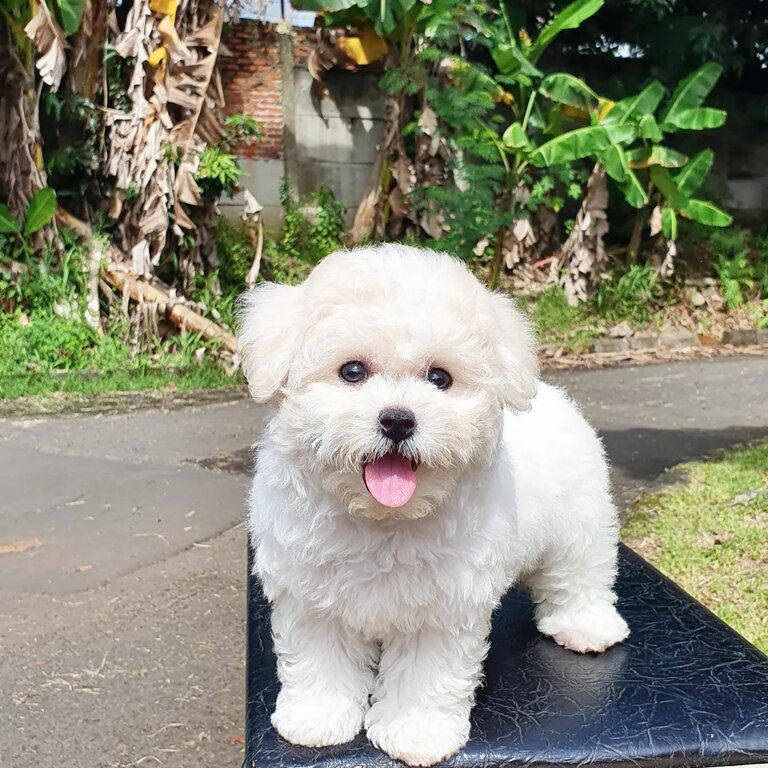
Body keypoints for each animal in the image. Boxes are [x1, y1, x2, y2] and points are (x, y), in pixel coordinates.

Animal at [237, 246, 628, 768]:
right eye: (352, 371)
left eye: (439, 377)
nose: (398, 420)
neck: (383, 518)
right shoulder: (312, 597)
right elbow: (321, 659)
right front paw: (317, 718)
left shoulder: (443, 609)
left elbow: (425, 674)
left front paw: (416, 733)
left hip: (581, 522)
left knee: (581, 573)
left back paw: (586, 626)